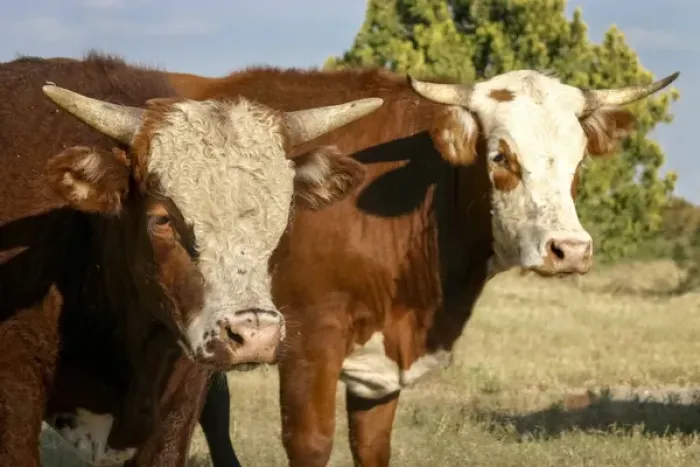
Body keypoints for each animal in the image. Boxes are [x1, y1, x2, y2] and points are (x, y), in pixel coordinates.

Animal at [162, 65, 679, 467]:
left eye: (579, 162)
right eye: (501, 156)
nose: (569, 250)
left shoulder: (378, 366)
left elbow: (372, 446)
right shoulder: (309, 343)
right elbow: (310, 444)